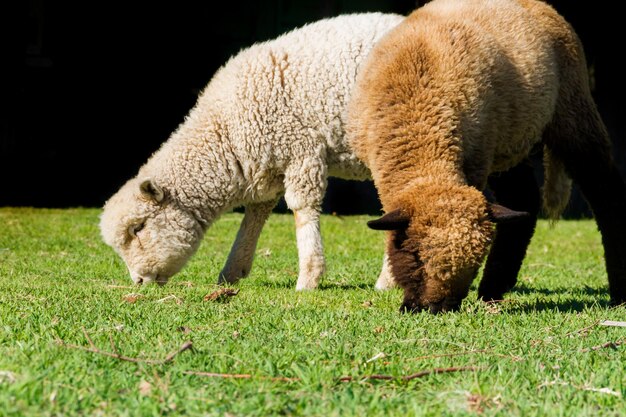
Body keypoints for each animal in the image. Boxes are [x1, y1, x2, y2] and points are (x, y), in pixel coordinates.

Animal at [97, 14, 400, 290]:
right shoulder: (268, 165)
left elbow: (302, 209)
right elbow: (254, 215)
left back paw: (386, 280)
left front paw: (308, 278)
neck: (224, 133)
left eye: (138, 228)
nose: (139, 281)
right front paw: (232, 271)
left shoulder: (301, 149)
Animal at [346, 0, 624, 312]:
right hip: (510, 140)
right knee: (523, 199)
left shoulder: (476, 160)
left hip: (572, 110)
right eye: (416, 255)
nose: (437, 308)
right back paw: (494, 288)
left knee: (606, 192)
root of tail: (540, 5)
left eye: (473, 264)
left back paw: (619, 293)